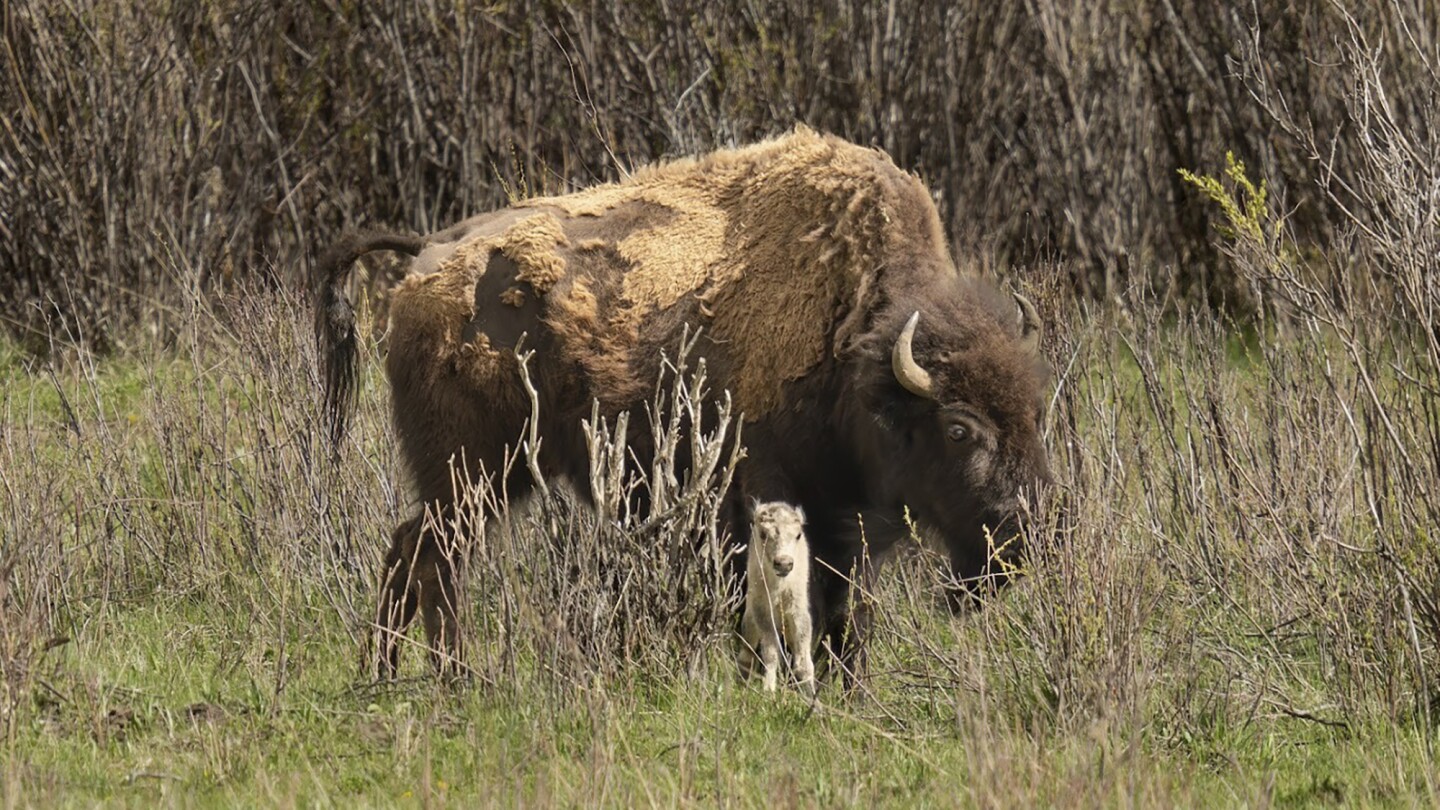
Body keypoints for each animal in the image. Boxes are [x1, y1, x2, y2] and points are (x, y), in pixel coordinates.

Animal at [737, 501, 817, 691]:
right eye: (763, 534)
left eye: (798, 535)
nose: (784, 563)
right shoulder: (762, 611)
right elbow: (771, 652)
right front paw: (768, 689)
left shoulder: (798, 609)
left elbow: (804, 658)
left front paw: (811, 694)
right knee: (747, 652)